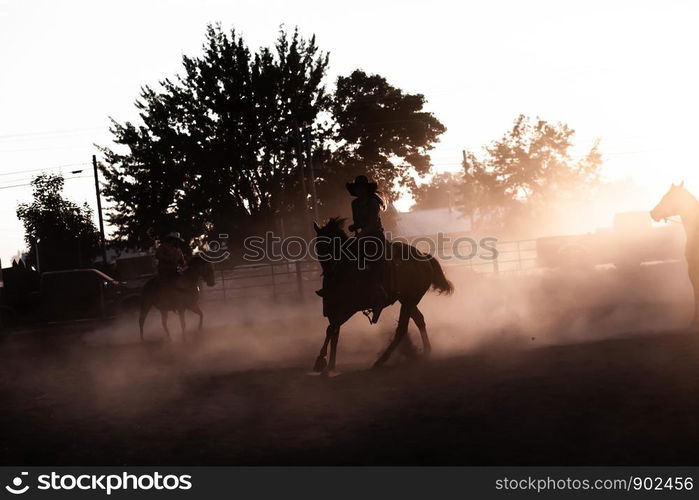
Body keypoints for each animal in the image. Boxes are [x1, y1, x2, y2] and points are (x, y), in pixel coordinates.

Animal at [312, 217, 454, 374]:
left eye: (332, 244)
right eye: (318, 246)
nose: (329, 272)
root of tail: (425, 258)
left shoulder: (350, 307)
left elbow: (332, 328)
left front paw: (320, 361)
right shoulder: (334, 308)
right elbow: (333, 331)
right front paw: (330, 365)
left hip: (409, 301)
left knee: (402, 329)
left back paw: (381, 361)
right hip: (407, 300)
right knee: (419, 320)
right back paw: (426, 352)